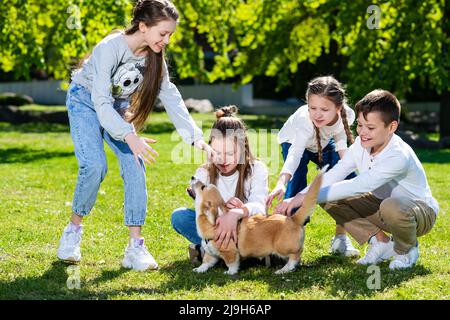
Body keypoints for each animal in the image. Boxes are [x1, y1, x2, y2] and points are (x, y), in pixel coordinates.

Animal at [190, 168, 324, 276]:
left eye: (203, 187)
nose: (192, 177)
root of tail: (293, 218)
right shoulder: (210, 253)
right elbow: (206, 262)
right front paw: (199, 269)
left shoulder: (229, 252)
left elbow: (232, 263)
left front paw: (230, 272)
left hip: (282, 247)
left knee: (296, 255)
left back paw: (284, 269)